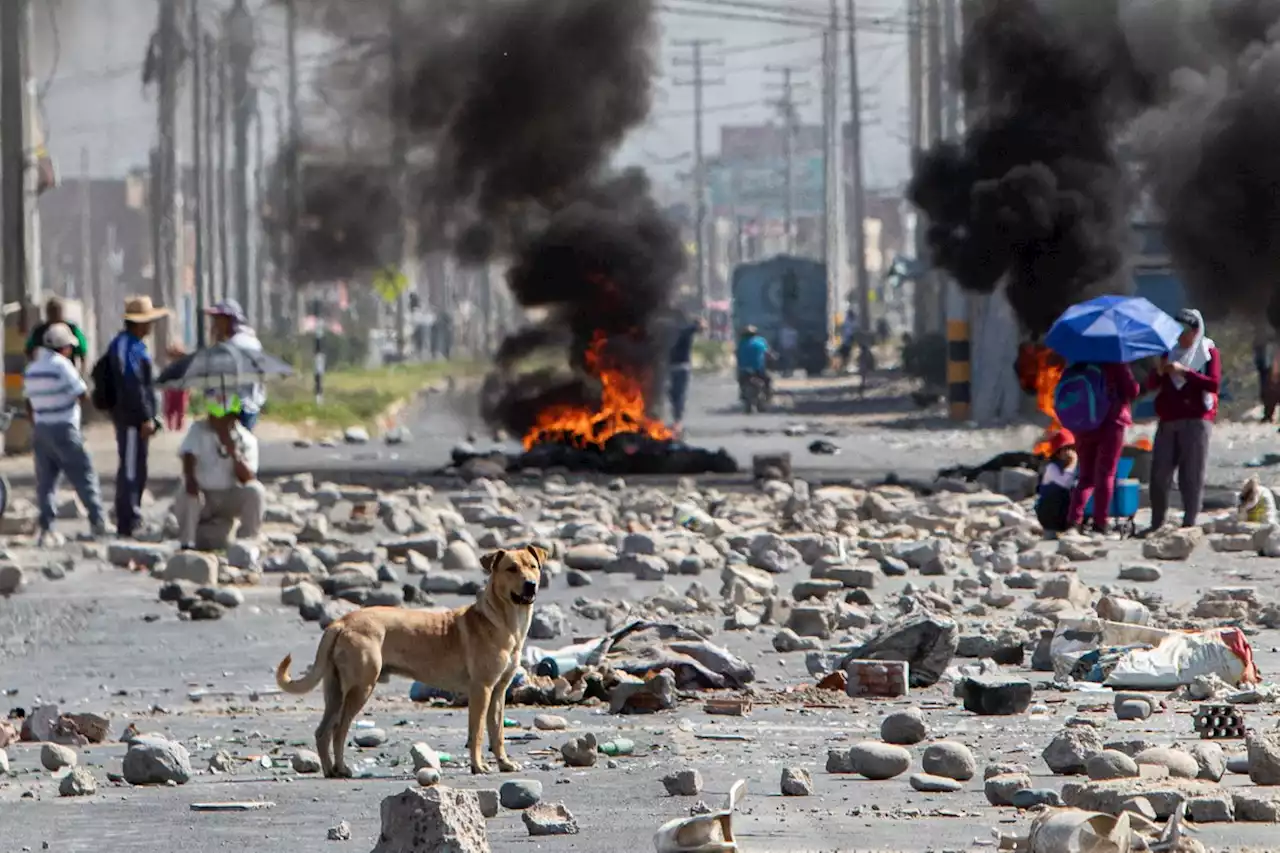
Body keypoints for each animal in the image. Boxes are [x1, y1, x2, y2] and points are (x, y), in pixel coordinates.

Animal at [276, 545, 545, 778]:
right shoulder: (482, 689)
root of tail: (340, 622)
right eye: (511, 569)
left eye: (533, 566)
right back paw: (341, 768)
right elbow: (477, 732)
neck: (505, 621)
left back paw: (330, 770)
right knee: (339, 729)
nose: (531, 585)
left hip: (334, 690)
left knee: (323, 731)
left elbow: (497, 732)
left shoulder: (498, 691)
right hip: (361, 687)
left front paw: (504, 763)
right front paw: (478, 766)